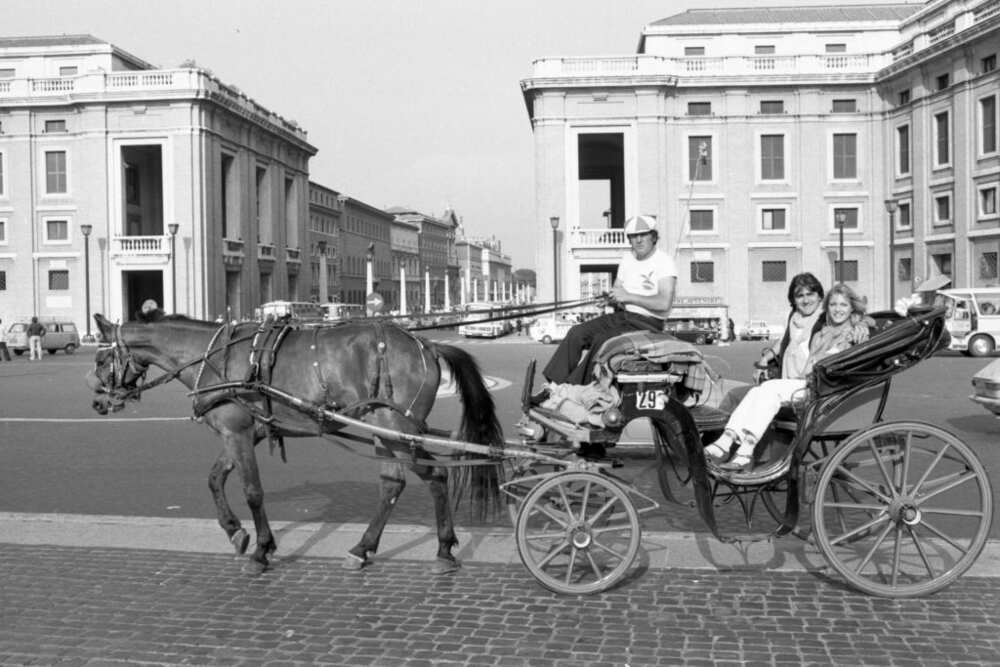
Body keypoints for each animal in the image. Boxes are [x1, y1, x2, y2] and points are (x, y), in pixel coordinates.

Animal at [87, 310, 504, 576]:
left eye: (100, 360)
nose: (98, 403)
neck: (215, 359)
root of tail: (428, 345)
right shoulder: (243, 433)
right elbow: (214, 478)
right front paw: (235, 532)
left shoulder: (238, 432)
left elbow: (252, 491)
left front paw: (261, 549)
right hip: (391, 431)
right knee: (412, 481)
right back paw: (403, 548)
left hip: (393, 428)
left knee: (417, 478)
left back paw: (408, 548)